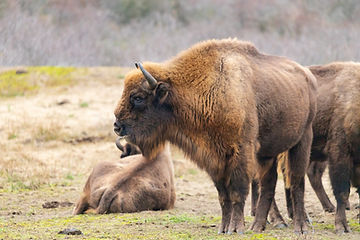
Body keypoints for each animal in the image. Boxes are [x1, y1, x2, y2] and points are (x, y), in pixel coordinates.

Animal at [111, 39, 316, 232]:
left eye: (138, 97)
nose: (117, 126)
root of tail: (308, 76)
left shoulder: (241, 151)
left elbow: (238, 191)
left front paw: (236, 228)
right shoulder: (214, 159)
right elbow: (223, 195)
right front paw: (224, 229)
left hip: (302, 140)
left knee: (296, 181)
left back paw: (301, 227)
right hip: (268, 152)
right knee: (269, 183)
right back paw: (260, 226)